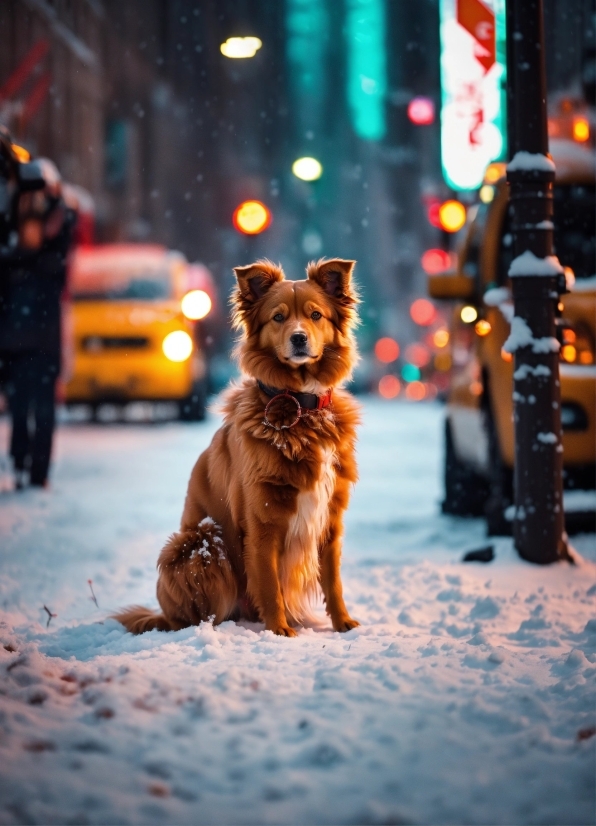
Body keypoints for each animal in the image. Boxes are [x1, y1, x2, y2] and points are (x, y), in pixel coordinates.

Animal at [114, 260, 360, 636]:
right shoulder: (262, 522)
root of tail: (163, 613)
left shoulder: (330, 518)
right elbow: (270, 584)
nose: (299, 337)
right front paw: (280, 631)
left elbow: (333, 580)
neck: (300, 407)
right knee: (199, 612)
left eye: (316, 315)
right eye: (278, 317)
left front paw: (343, 623)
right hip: (199, 543)